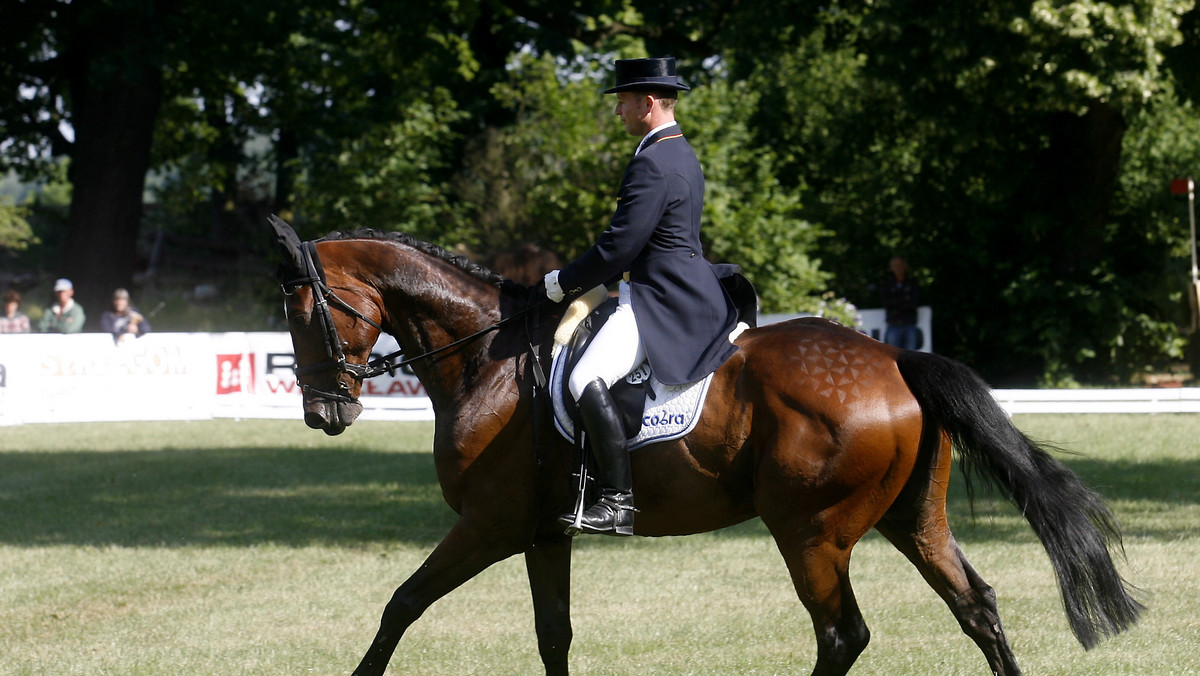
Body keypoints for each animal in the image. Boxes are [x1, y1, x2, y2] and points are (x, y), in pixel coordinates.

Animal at [267, 218, 1137, 676]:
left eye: (306, 314)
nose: (325, 413)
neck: (485, 355)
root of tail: (896, 358)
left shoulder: (489, 525)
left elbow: (402, 602)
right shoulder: (543, 534)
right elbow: (553, 636)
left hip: (810, 533)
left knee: (843, 634)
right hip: (911, 519)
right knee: (976, 606)